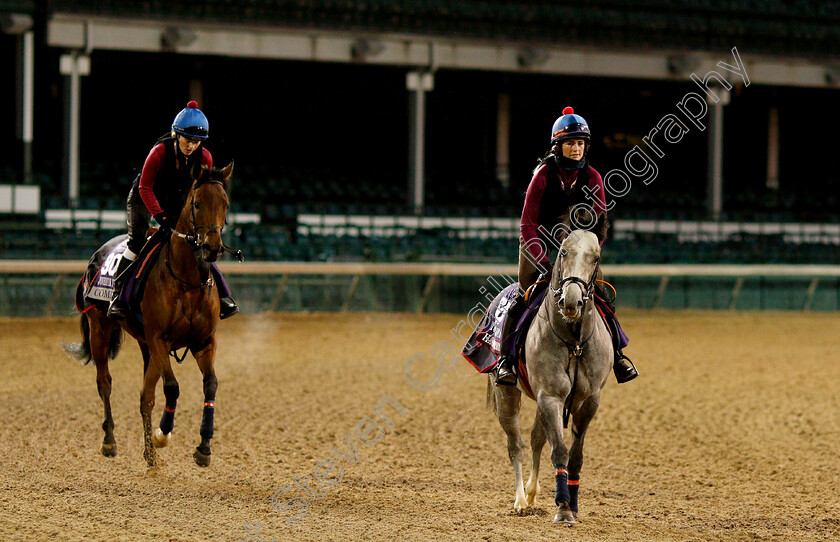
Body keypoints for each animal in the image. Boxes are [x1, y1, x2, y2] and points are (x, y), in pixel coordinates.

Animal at [63, 163, 235, 472]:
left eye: (226, 204)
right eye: (197, 203)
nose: (212, 247)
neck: (187, 281)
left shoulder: (204, 341)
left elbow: (210, 384)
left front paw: (204, 447)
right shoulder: (159, 340)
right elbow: (173, 387)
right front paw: (162, 434)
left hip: (145, 345)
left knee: (145, 397)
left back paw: (150, 456)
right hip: (100, 328)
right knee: (104, 382)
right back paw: (110, 441)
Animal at [486, 228, 612, 528]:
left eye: (596, 257)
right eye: (563, 252)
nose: (571, 301)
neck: (574, 341)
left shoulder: (589, 401)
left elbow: (575, 455)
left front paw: (572, 505)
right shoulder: (551, 397)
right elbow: (560, 451)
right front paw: (563, 508)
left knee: (535, 439)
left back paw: (532, 494)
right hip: (506, 395)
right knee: (516, 445)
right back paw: (521, 501)